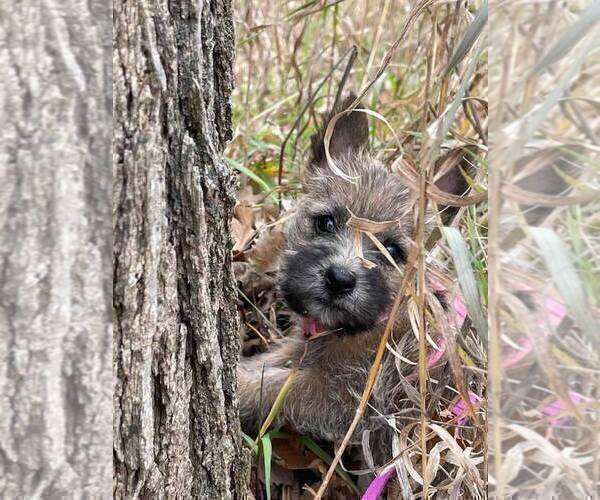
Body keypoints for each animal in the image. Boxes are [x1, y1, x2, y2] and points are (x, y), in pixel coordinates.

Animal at [238, 94, 468, 460]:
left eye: (393, 251)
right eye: (326, 222)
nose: (340, 279)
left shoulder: (343, 397)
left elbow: (273, 388)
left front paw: (235, 383)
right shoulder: (305, 352)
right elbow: (273, 361)